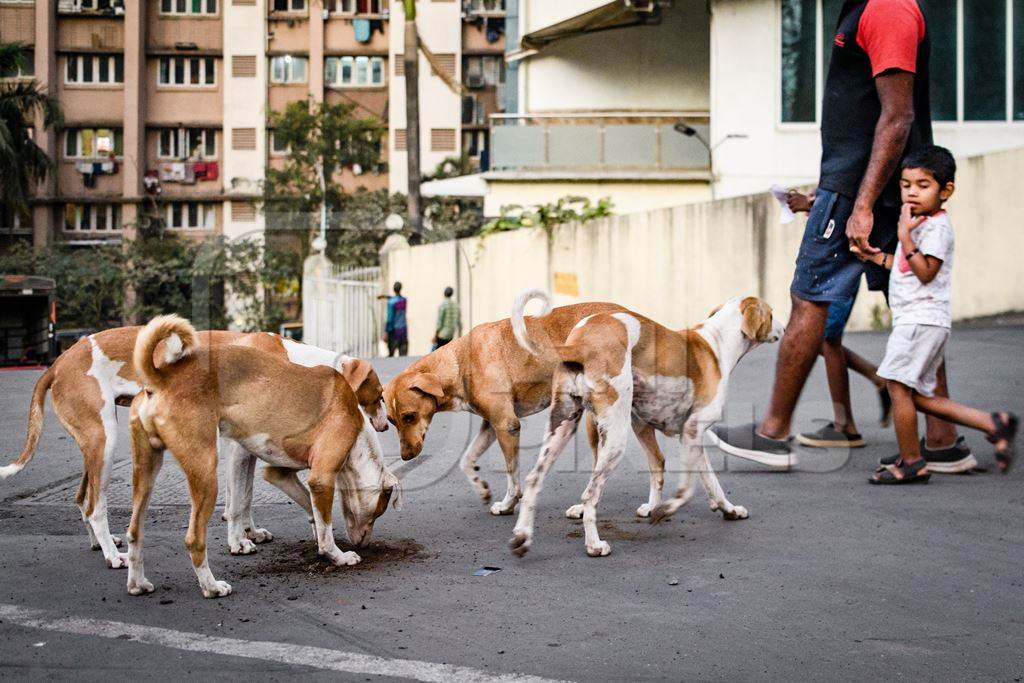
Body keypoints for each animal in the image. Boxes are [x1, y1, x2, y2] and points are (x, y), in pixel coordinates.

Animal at [0, 325, 387, 565]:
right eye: (379, 396)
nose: (385, 425)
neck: (294, 358)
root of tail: (57, 362)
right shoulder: (239, 447)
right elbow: (239, 498)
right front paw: (237, 541)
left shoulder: (244, 446)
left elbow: (244, 496)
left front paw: (249, 532)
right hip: (104, 442)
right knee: (96, 506)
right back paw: (112, 555)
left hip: (94, 445)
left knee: (83, 499)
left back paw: (101, 543)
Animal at [124, 315, 399, 598]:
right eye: (378, 397)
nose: (385, 425)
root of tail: (162, 377)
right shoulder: (316, 478)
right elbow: (245, 504)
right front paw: (337, 555)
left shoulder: (278, 472)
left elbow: (287, 502)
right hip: (205, 472)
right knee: (194, 539)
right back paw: (211, 586)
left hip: (146, 472)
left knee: (134, 531)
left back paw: (137, 583)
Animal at [382, 296, 622, 516]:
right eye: (391, 421)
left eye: (410, 416)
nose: (405, 456)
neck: (459, 362)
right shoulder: (491, 424)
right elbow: (466, 460)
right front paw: (481, 488)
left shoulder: (507, 425)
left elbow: (511, 474)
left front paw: (509, 504)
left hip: (596, 421)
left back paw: (583, 507)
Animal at [509, 290, 782, 557]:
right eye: (772, 313)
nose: (781, 326)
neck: (717, 343)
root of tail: (581, 345)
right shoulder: (692, 430)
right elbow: (687, 489)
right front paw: (666, 509)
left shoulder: (675, 433)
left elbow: (708, 481)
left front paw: (729, 510)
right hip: (615, 439)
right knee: (590, 494)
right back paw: (594, 545)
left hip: (562, 426)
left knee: (534, 479)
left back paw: (523, 535)